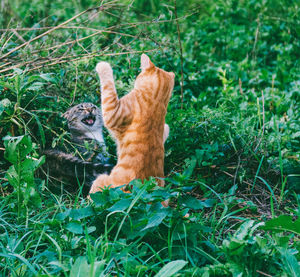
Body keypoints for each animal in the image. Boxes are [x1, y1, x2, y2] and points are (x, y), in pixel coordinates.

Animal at [88, 54, 173, 195]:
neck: (157, 100)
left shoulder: (113, 112)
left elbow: (108, 87)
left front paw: (103, 65)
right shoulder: (164, 127)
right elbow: (166, 129)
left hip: (101, 180)